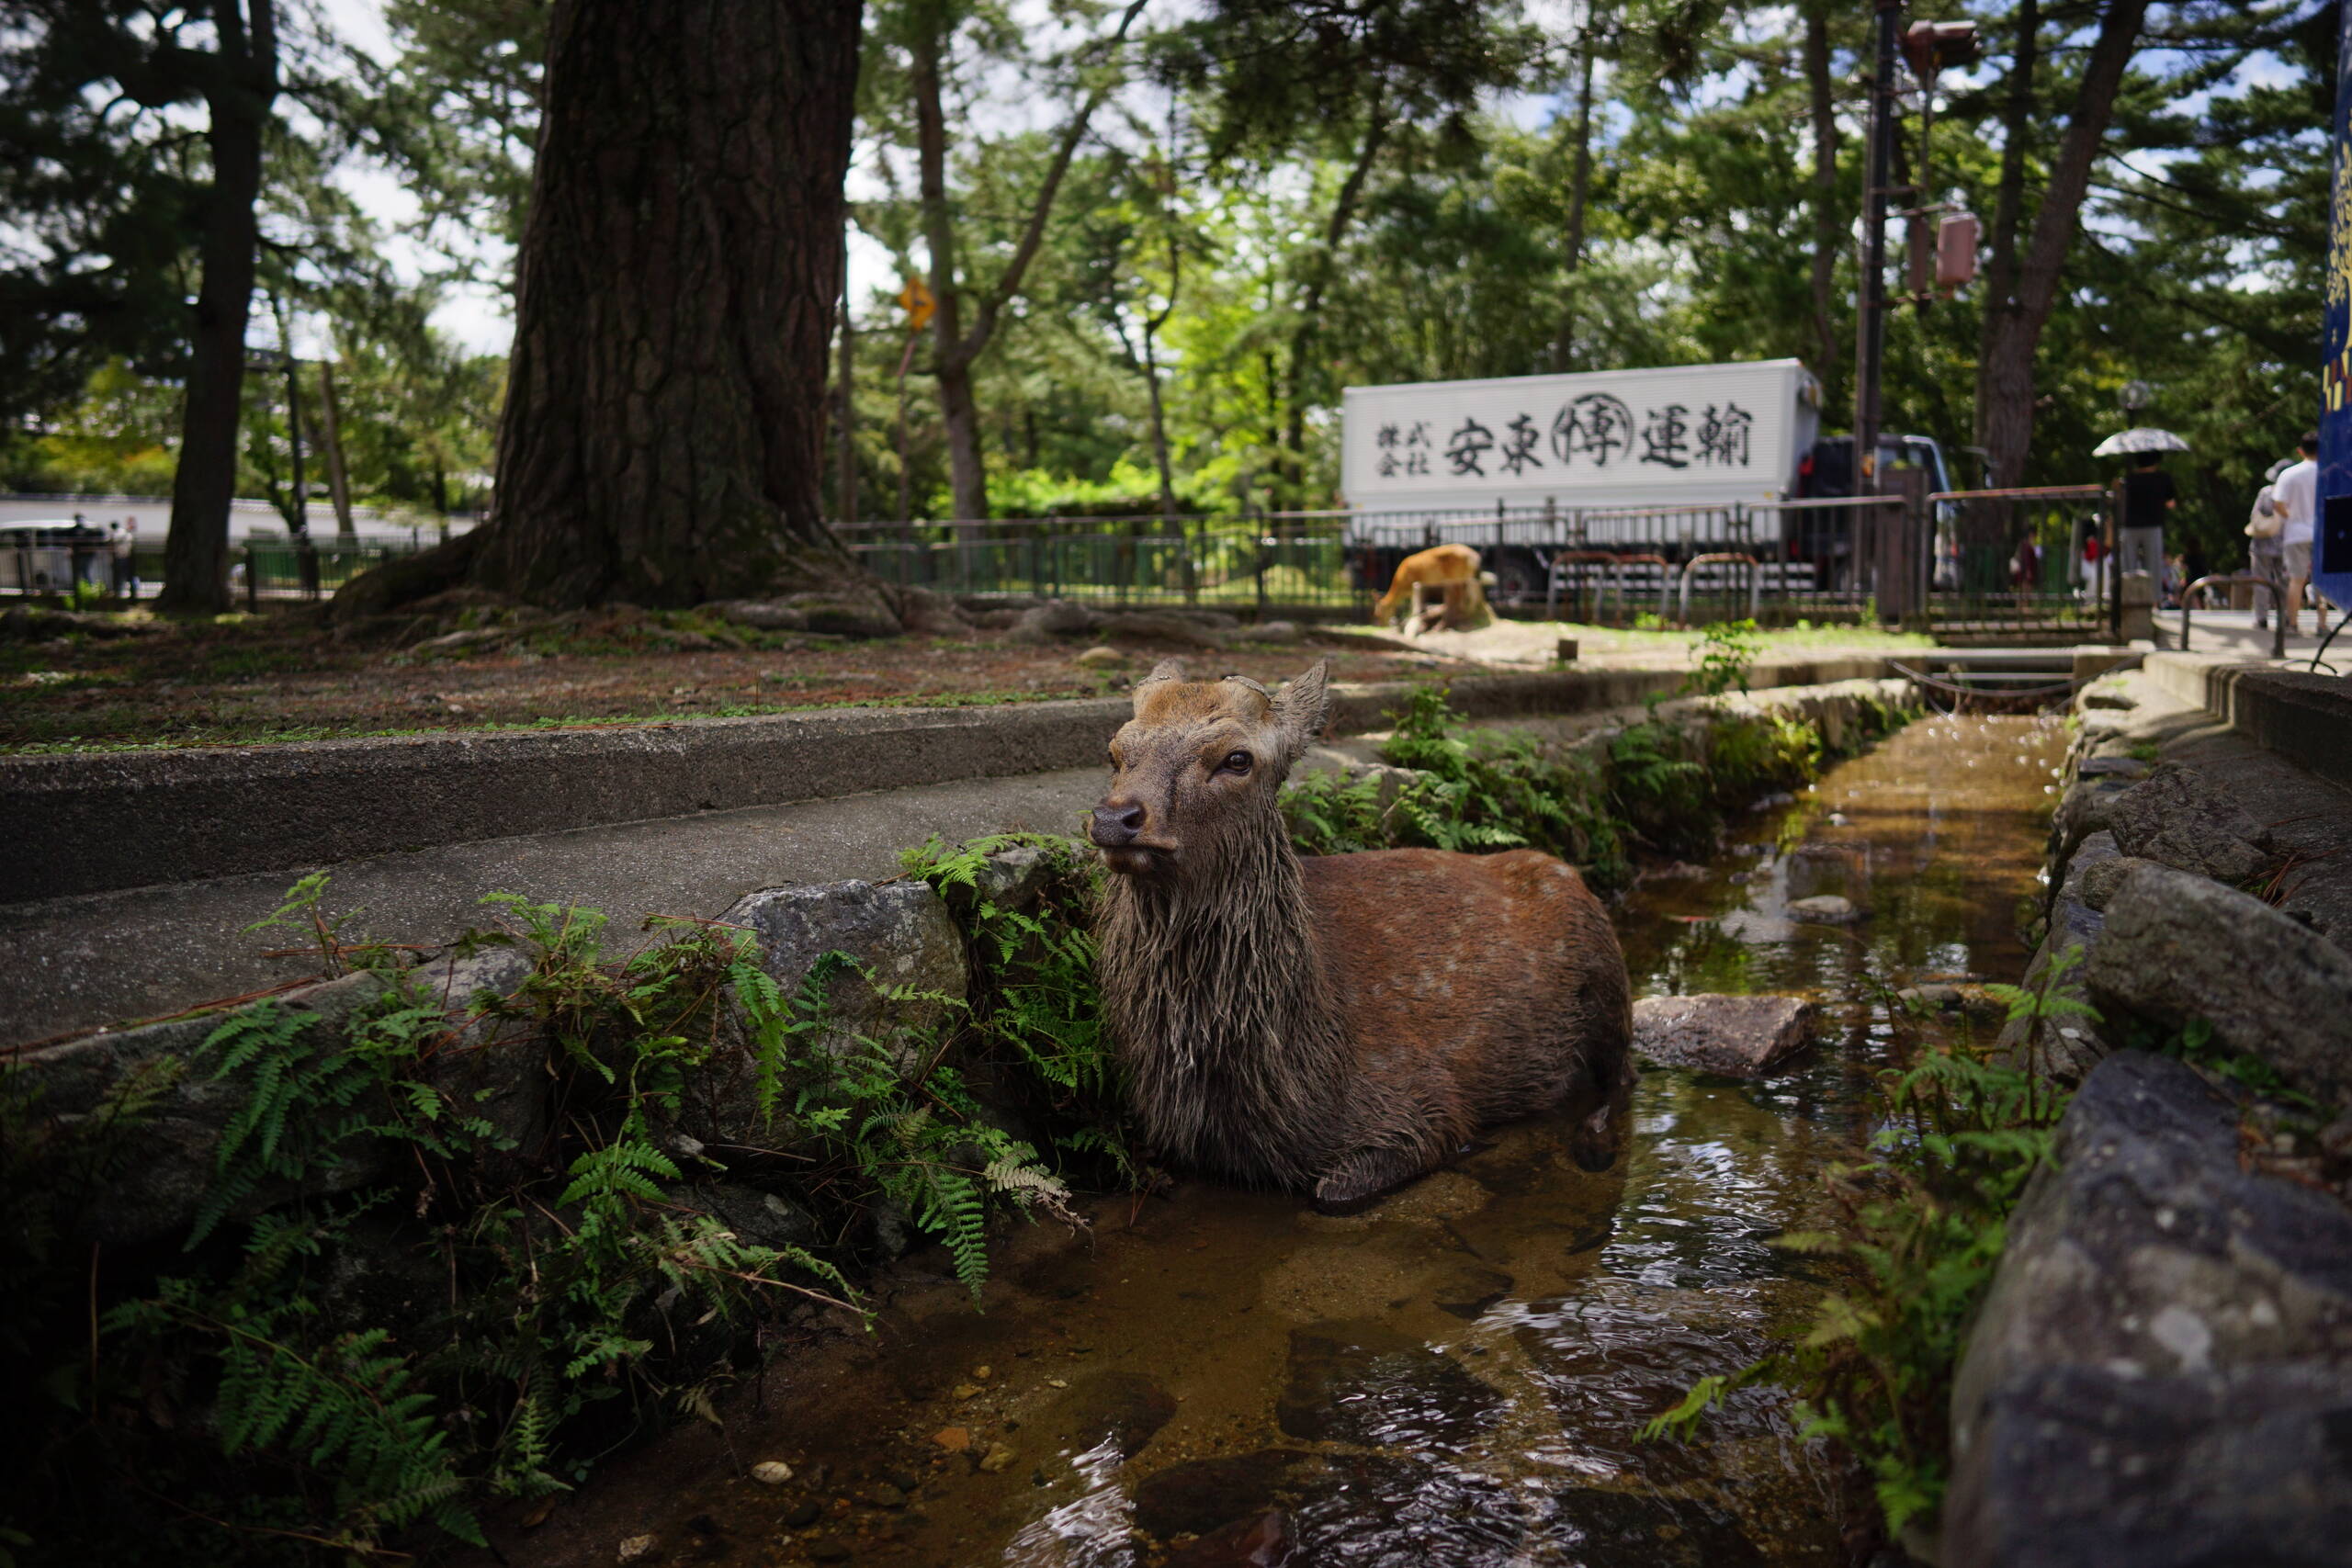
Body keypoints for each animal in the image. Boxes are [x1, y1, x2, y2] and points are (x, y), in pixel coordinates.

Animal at [1089, 658, 1631, 1210]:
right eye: (1114, 751)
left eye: (1237, 759)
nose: (1115, 817)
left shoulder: (1421, 1106)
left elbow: (1331, 1193)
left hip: (1610, 980)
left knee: (1620, 1080)